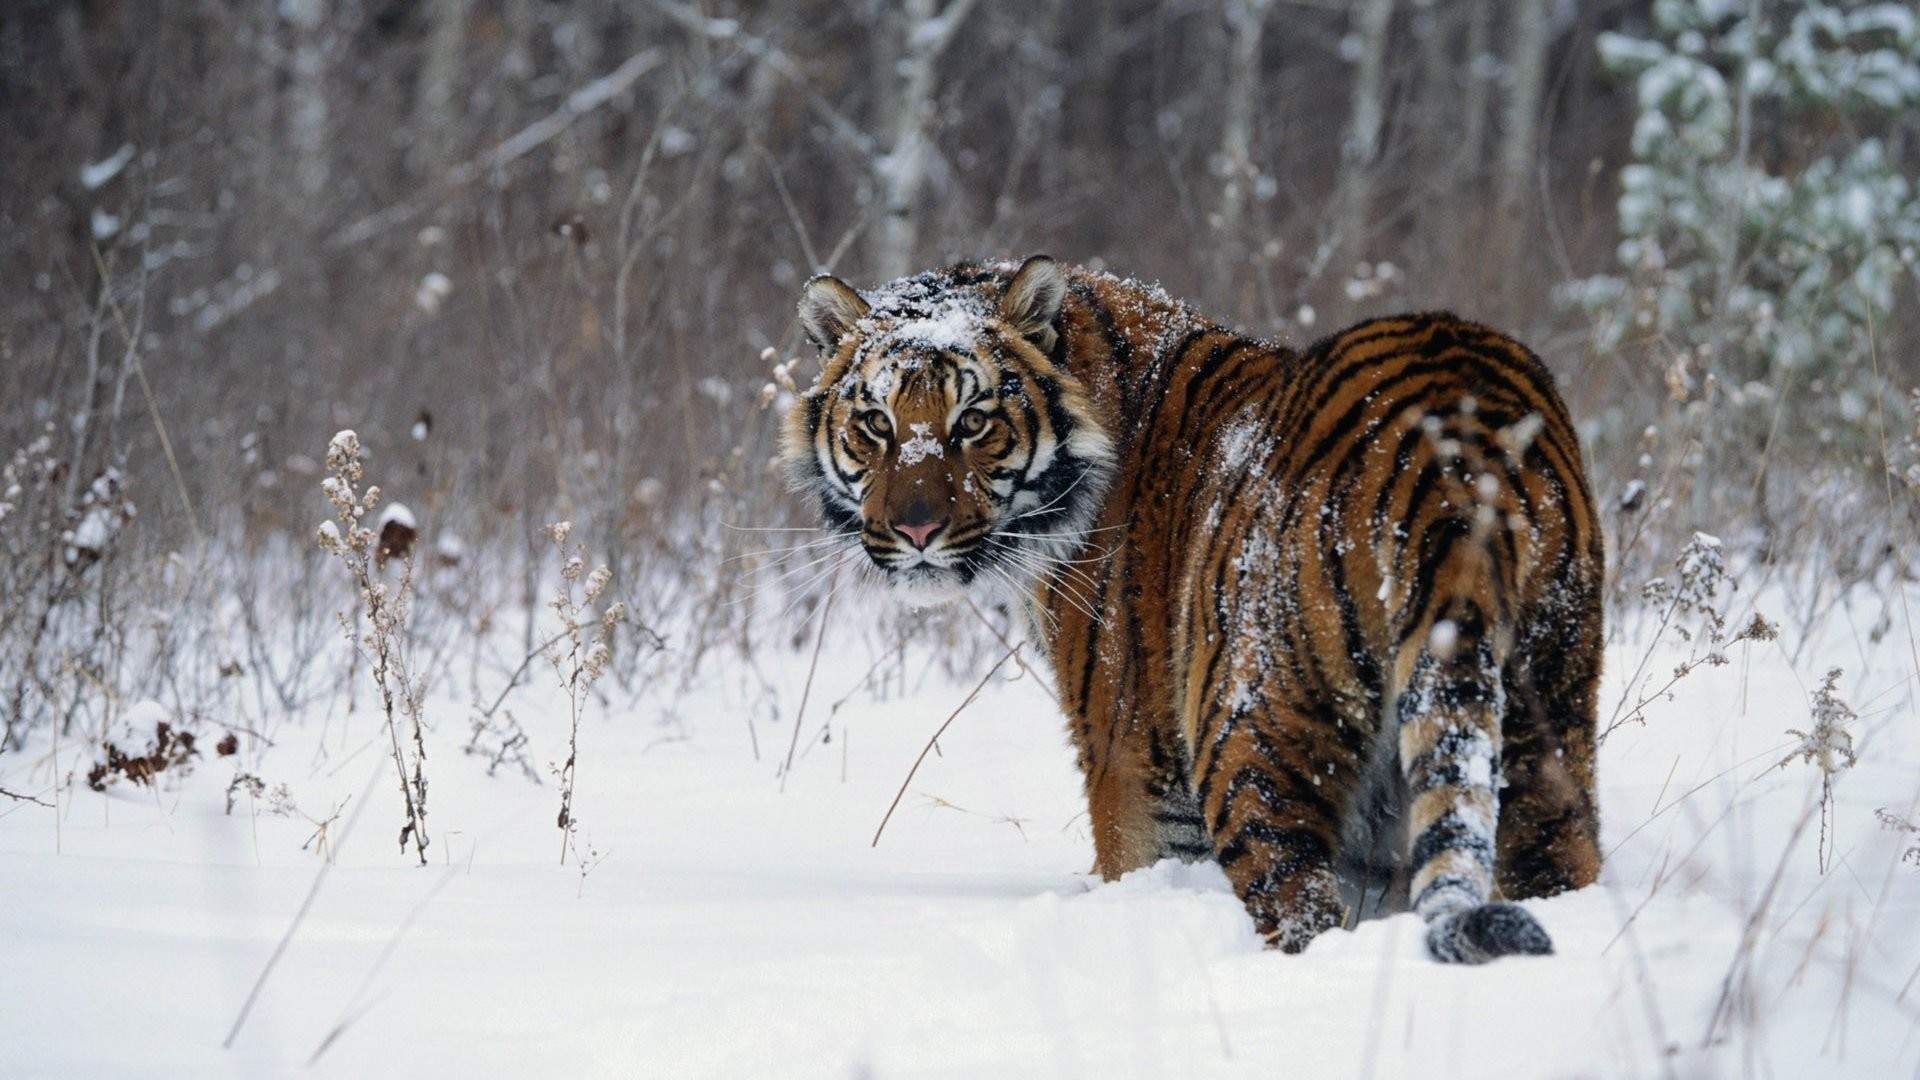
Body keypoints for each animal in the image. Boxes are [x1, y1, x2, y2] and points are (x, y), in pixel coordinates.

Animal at [784, 256, 1603, 962]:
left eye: (974, 422)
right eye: (877, 424)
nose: (916, 531)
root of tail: (1454, 446)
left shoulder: (1132, 758)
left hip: (1250, 736)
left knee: (1300, 908)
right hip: (1547, 717)